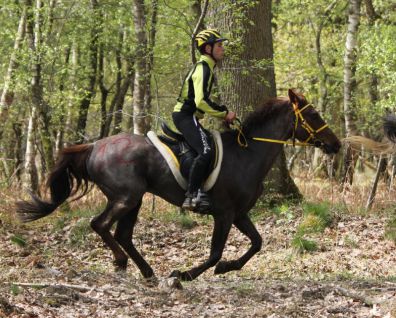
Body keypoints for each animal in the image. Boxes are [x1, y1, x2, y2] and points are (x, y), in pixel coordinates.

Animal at [16, 89, 340, 280]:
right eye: (313, 114)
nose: (335, 145)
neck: (248, 153)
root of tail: (94, 146)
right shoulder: (224, 214)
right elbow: (215, 252)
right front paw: (185, 274)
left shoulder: (239, 214)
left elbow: (257, 243)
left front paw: (227, 267)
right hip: (125, 197)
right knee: (101, 225)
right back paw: (123, 262)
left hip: (135, 200)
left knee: (123, 234)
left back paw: (146, 271)